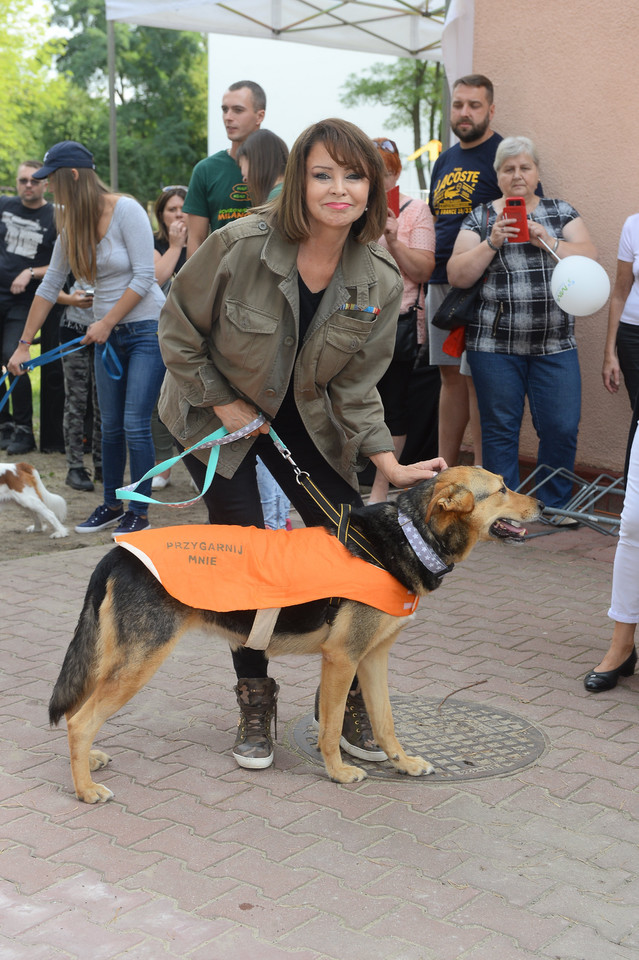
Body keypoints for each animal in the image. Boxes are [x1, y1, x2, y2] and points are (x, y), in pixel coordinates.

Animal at [50, 466, 544, 804]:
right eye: (503, 488)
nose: (542, 505)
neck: (408, 536)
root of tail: (118, 553)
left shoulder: (373, 659)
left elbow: (385, 723)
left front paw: (402, 763)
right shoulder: (342, 658)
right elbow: (330, 727)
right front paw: (338, 773)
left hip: (114, 658)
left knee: (79, 714)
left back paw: (88, 763)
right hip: (138, 663)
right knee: (79, 721)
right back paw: (86, 789)